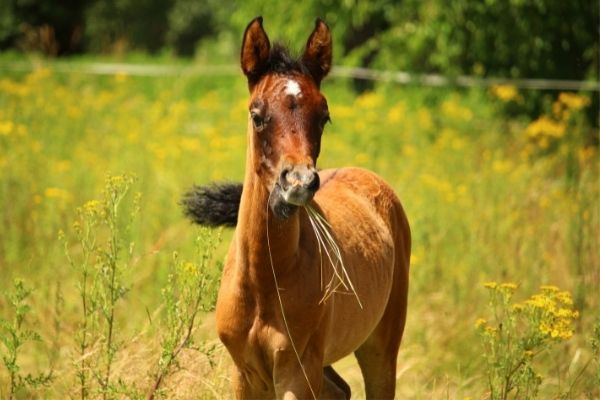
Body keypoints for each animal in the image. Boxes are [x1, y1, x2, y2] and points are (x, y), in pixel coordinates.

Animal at [182, 16, 408, 400]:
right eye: (257, 115)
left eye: (324, 116)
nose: (298, 182)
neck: (263, 282)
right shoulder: (245, 375)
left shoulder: (296, 373)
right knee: (341, 389)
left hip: (379, 348)